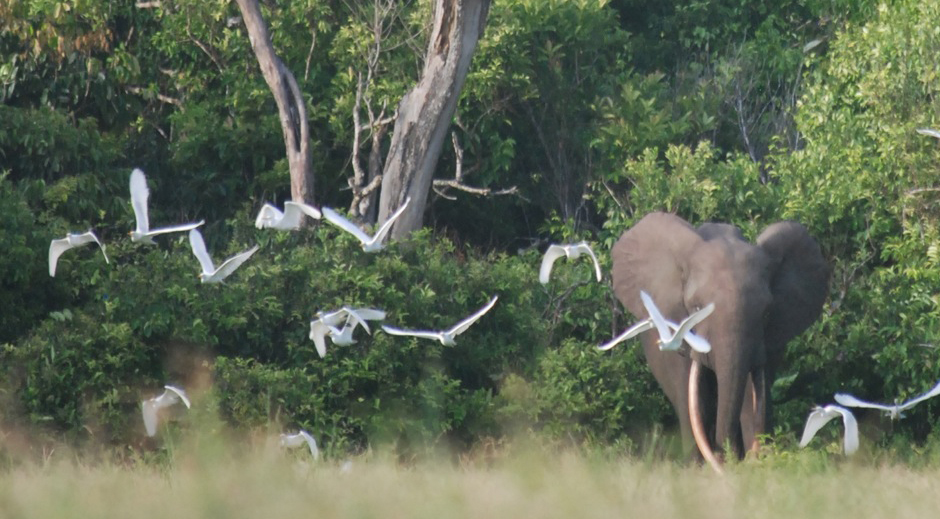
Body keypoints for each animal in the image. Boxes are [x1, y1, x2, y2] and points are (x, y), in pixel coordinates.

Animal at [612, 211, 828, 468]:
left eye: (766, 313)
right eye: (696, 309)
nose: (725, 455)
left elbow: (751, 398)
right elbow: (694, 400)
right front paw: (699, 468)